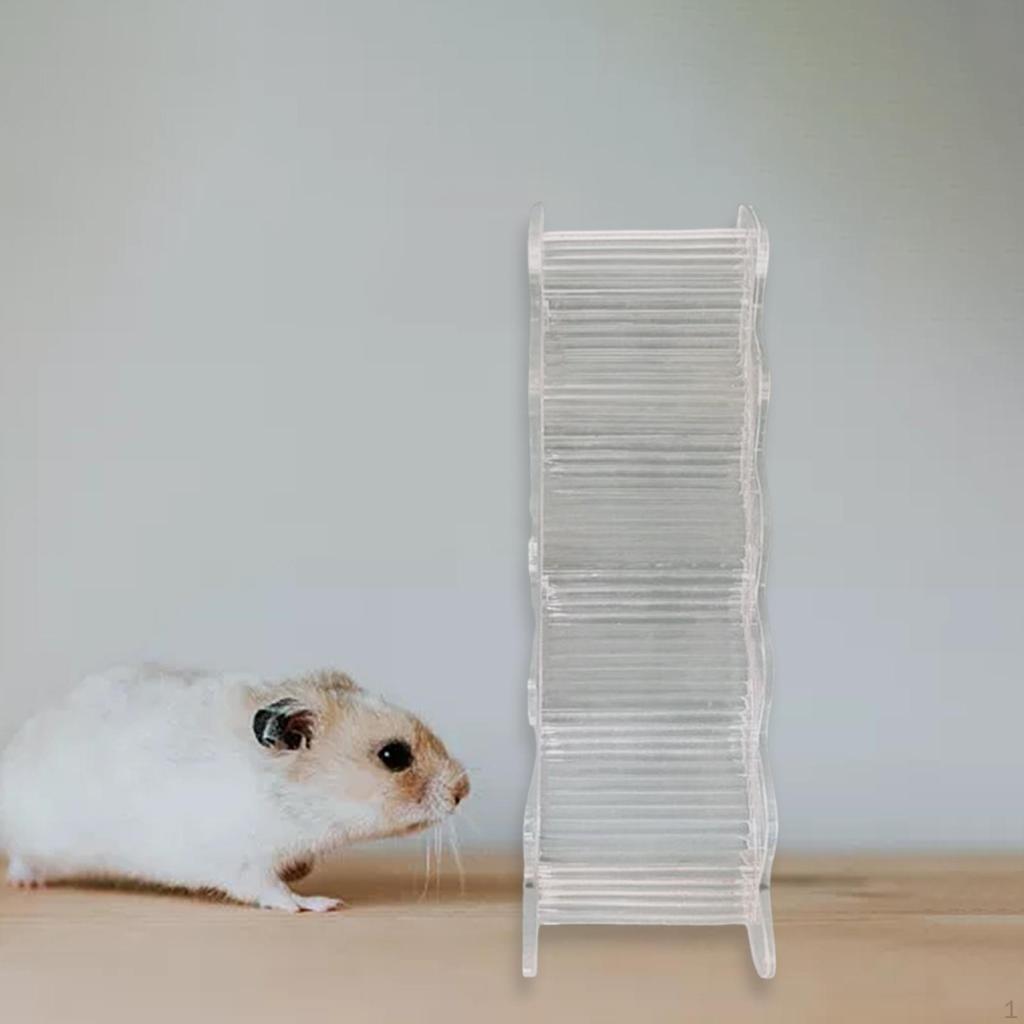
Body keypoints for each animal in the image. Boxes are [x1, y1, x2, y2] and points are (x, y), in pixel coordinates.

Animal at [0, 664, 469, 912]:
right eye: (393, 756)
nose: (463, 789)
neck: (295, 801)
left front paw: (305, 873)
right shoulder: (245, 862)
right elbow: (274, 892)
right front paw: (322, 903)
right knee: (23, 858)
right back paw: (26, 884)